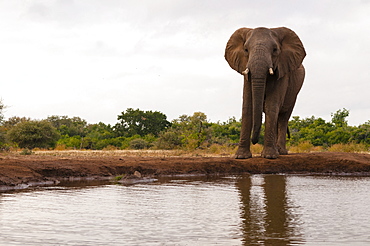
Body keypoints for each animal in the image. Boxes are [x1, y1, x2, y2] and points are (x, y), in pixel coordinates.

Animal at [225, 26, 306, 159]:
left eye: (275, 50)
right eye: (246, 50)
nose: (255, 141)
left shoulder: (282, 72)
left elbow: (271, 106)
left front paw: (269, 156)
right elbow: (247, 106)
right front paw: (241, 157)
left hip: (294, 93)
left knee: (283, 117)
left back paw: (281, 152)